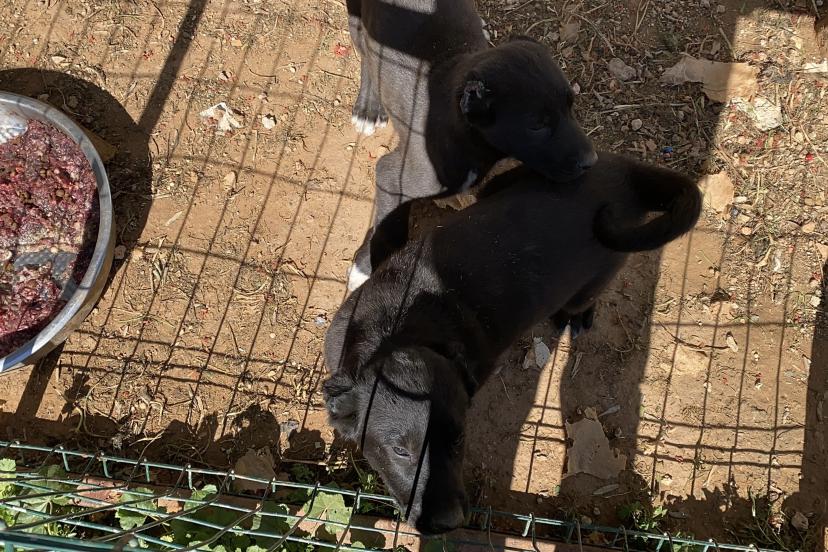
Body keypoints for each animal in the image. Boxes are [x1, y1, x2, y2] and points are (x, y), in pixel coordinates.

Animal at [323, 152, 702, 534]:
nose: (450, 522)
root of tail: (625, 173)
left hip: (602, 269)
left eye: (458, 439)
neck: (400, 326)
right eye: (400, 451)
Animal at [345, 0, 597, 290]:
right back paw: (369, 107)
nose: (592, 161)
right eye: (536, 126)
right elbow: (387, 225)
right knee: (366, 55)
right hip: (357, 18)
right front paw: (364, 267)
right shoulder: (391, 175)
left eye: (571, 107)